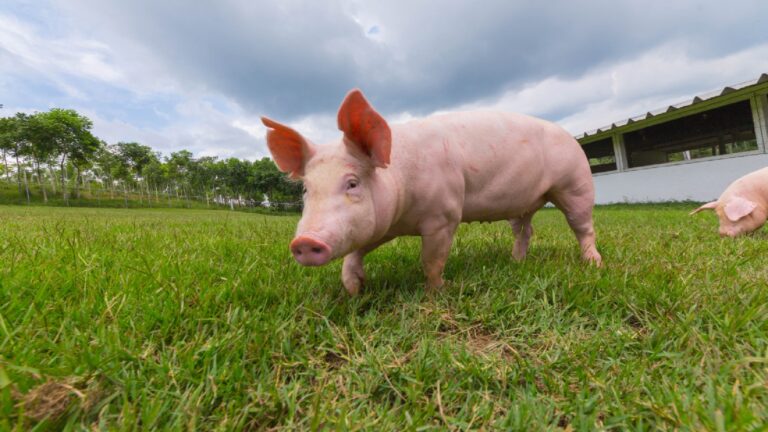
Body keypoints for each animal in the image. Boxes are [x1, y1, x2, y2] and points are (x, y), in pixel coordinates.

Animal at [263, 89, 602, 295]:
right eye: (307, 189)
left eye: (352, 183)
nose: (304, 242)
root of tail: (570, 137)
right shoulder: (384, 224)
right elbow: (357, 250)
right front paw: (355, 289)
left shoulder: (444, 216)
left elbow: (432, 260)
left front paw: (436, 291)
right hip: (522, 204)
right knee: (524, 230)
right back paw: (516, 261)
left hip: (575, 183)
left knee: (583, 226)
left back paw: (593, 264)